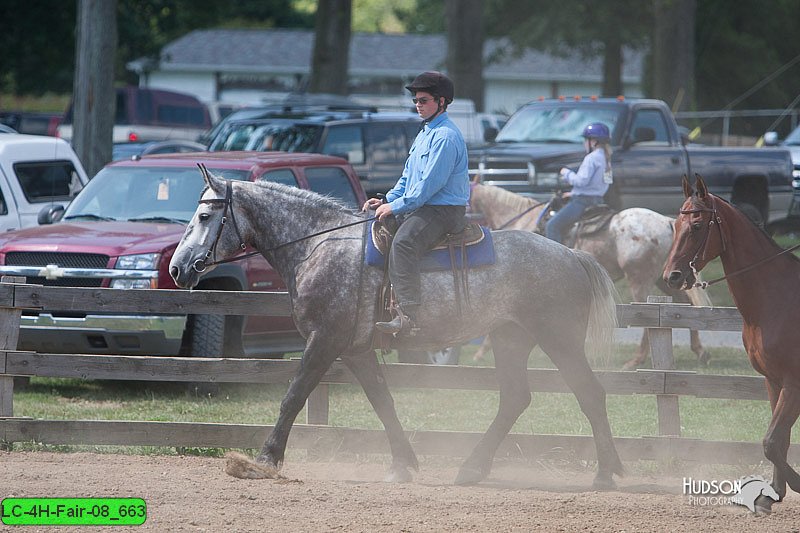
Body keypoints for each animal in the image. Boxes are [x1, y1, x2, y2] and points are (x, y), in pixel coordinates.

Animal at [172, 164, 628, 488]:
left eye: (204, 214)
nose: (177, 267)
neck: (317, 245)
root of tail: (573, 256)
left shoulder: (325, 341)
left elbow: (293, 396)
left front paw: (262, 461)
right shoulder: (355, 349)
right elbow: (383, 402)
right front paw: (403, 464)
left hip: (560, 340)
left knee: (590, 394)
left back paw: (606, 473)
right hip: (509, 339)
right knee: (516, 398)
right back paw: (472, 468)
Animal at [468, 181, 712, 368]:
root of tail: (666, 221)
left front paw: (480, 352)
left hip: (640, 279)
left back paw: (636, 360)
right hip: (665, 278)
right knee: (683, 306)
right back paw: (700, 351)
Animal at [664, 175, 800, 512]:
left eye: (697, 225)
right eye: (675, 224)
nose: (672, 276)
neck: (780, 298)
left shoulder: (794, 383)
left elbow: (771, 441)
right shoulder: (773, 382)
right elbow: (779, 440)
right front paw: (772, 493)